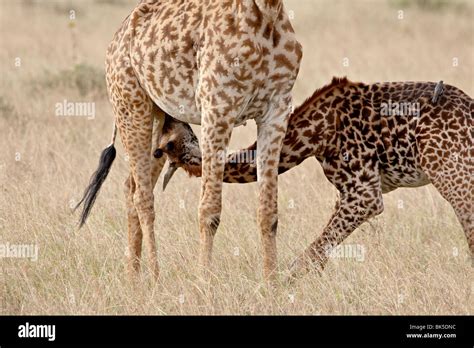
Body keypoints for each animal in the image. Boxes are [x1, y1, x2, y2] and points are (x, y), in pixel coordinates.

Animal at [75, 0, 302, 278]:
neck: (266, 13)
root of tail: (116, 39)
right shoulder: (218, 109)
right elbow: (210, 211)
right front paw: (204, 282)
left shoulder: (277, 110)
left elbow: (269, 212)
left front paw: (272, 284)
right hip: (131, 108)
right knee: (143, 197)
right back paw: (155, 278)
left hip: (158, 122)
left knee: (132, 187)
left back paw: (133, 279)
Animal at [157, 77, 472, 278]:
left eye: (166, 143)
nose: (168, 113)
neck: (312, 136)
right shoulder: (357, 191)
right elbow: (320, 253)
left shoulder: (365, 193)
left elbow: (307, 257)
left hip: (451, 174)